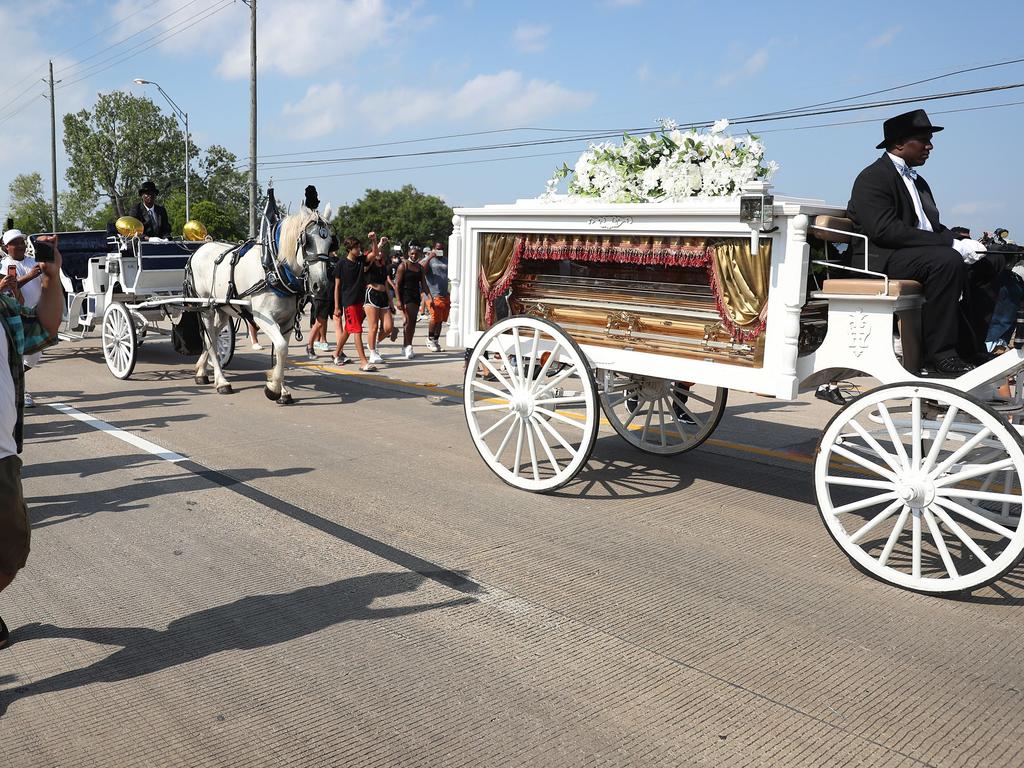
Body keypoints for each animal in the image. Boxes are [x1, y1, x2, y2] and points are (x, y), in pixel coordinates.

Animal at [182, 207, 329, 405]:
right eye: (308, 241)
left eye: (330, 242)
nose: (320, 285)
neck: (273, 266)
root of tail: (198, 250)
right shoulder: (263, 318)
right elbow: (281, 348)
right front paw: (273, 389)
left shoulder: (288, 321)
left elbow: (281, 352)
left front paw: (281, 389)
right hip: (205, 306)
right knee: (211, 339)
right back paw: (221, 381)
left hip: (222, 308)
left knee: (211, 335)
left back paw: (201, 371)